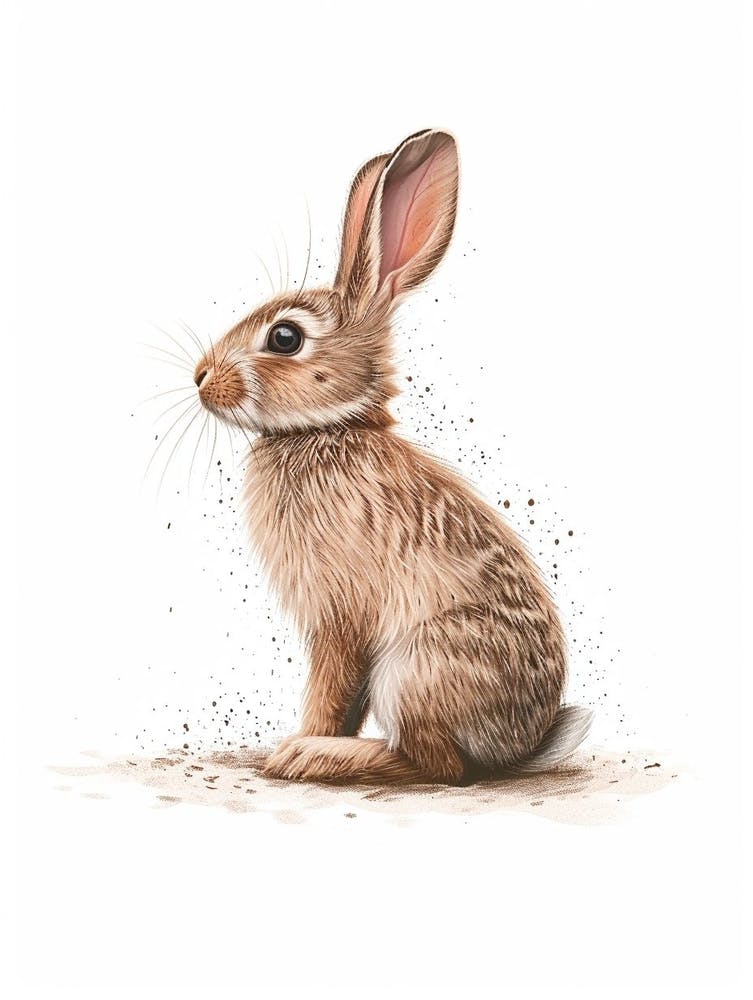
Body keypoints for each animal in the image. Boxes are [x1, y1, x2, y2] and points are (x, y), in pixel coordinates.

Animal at [191, 128, 592, 784]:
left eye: (285, 337)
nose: (200, 378)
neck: (328, 430)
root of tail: (521, 747)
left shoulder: (340, 618)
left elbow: (330, 690)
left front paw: (291, 747)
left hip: (415, 669)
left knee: (439, 766)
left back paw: (321, 757)